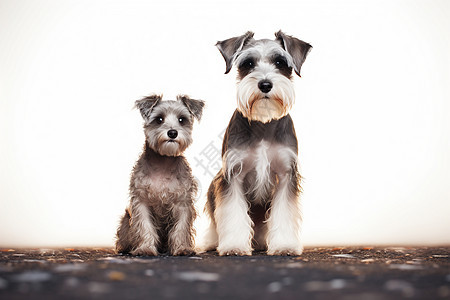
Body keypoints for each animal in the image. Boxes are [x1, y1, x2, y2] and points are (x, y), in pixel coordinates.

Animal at [117, 94, 207, 255]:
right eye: (159, 119)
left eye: (181, 119)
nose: (172, 133)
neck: (163, 163)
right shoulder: (142, 202)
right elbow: (145, 226)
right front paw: (145, 248)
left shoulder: (183, 203)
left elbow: (181, 228)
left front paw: (182, 248)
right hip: (126, 221)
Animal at [205, 30, 312, 255]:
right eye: (248, 63)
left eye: (280, 62)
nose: (265, 84)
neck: (263, 124)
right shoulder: (233, 174)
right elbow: (232, 213)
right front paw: (234, 246)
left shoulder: (286, 175)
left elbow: (284, 213)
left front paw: (285, 246)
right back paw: (212, 242)